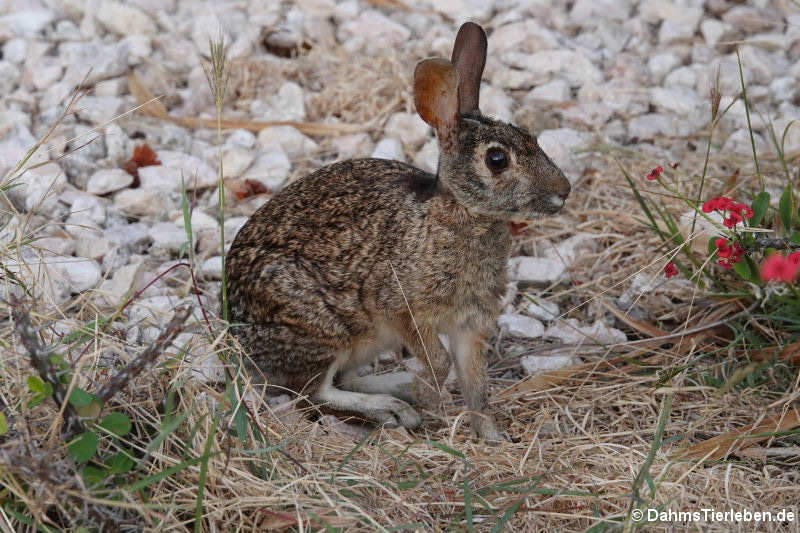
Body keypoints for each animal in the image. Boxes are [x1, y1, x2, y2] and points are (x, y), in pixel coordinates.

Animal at [225, 22, 572, 440]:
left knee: (340, 381)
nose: (563, 191)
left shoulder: (470, 323)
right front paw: (429, 397)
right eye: (497, 159)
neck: (462, 214)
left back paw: (400, 388)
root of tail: (234, 330)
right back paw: (394, 407)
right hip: (321, 329)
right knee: (312, 393)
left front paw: (492, 437)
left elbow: (476, 386)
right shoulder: (402, 310)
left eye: (532, 138)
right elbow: (440, 361)